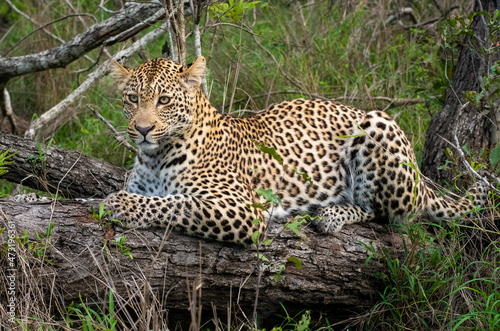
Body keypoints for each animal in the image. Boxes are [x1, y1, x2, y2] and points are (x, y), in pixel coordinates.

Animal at [103, 55, 490, 245]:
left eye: (164, 100)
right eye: (132, 98)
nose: (142, 129)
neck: (154, 157)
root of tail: (421, 178)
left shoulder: (240, 209)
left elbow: (175, 205)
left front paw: (119, 204)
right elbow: (161, 199)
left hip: (378, 124)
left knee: (386, 215)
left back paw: (330, 214)